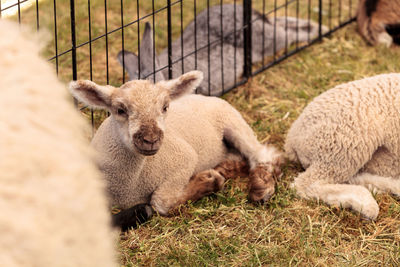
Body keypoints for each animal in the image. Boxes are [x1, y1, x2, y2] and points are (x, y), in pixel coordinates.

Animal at [69, 71, 282, 220]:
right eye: (120, 110)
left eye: (165, 107)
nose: (151, 139)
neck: (130, 183)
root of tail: (201, 95)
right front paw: (211, 179)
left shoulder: (184, 158)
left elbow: (161, 202)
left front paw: (208, 181)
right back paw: (227, 168)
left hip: (233, 121)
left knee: (263, 154)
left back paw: (261, 188)